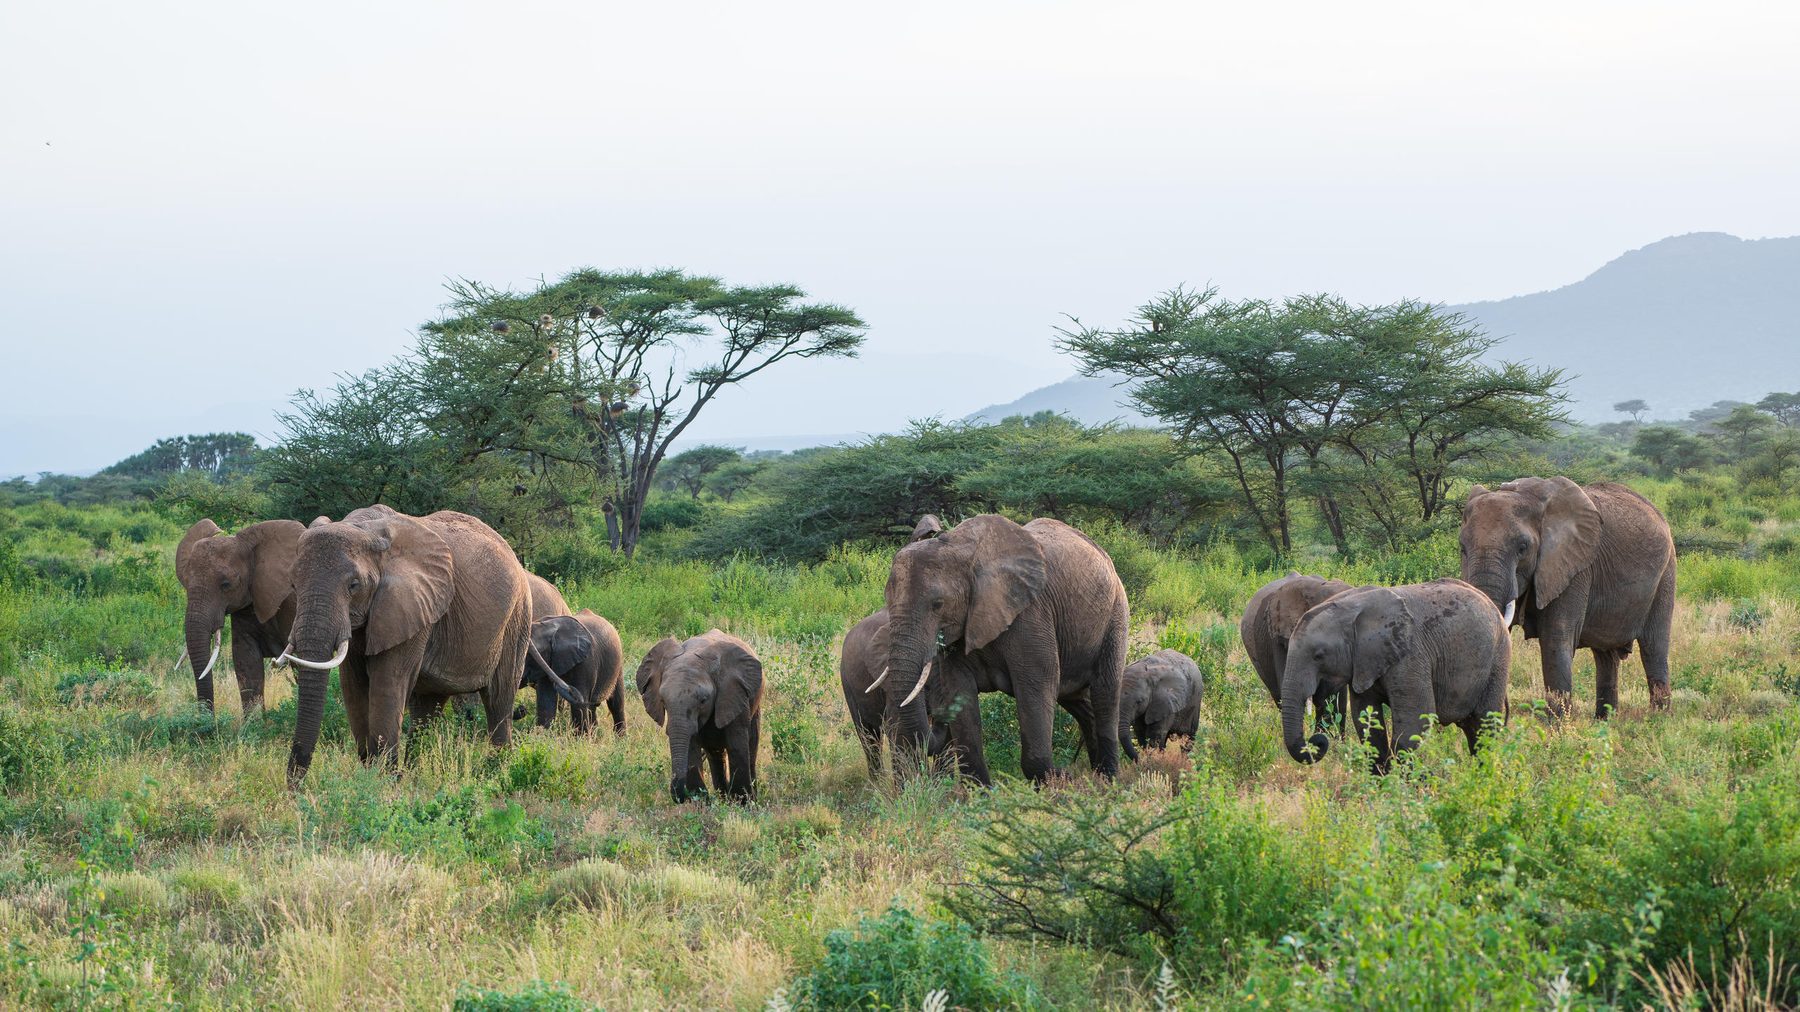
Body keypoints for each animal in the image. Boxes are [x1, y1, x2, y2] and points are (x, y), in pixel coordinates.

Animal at [278, 504, 541, 785]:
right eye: (292, 584)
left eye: (354, 585)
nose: (295, 789)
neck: (365, 529)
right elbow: (353, 686)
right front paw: (375, 774)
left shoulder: (411, 604)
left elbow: (388, 682)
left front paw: (384, 781)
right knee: (427, 706)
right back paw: (415, 774)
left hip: (517, 617)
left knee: (498, 697)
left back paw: (495, 771)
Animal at [637, 629, 763, 802]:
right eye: (663, 701)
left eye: (703, 700)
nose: (678, 796)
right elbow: (691, 746)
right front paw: (702, 802)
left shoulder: (733, 694)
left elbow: (737, 744)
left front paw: (742, 802)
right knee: (715, 755)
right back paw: (722, 797)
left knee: (751, 747)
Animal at [879, 513, 1130, 785]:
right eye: (887, 600)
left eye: (938, 604)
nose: (1067, 771)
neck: (961, 549)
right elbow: (959, 692)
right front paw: (982, 793)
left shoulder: (1031, 614)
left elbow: (1036, 686)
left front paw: (1060, 782)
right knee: (1077, 700)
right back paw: (1097, 778)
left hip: (1115, 613)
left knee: (1104, 692)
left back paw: (1109, 780)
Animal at [1282, 579, 1510, 773]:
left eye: (1319, 655)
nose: (1318, 740)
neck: (1352, 606)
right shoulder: (1364, 661)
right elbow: (1366, 720)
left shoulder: (1410, 656)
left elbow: (1416, 720)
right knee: (1473, 729)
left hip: (1498, 659)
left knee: (1484, 725)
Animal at [1460, 477, 1675, 718]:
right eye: (1462, 548)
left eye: (1522, 548)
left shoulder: (1574, 567)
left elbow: (1556, 638)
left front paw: (1558, 724)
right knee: (1606, 656)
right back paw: (1603, 720)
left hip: (1666, 573)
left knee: (1653, 647)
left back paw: (1658, 719)